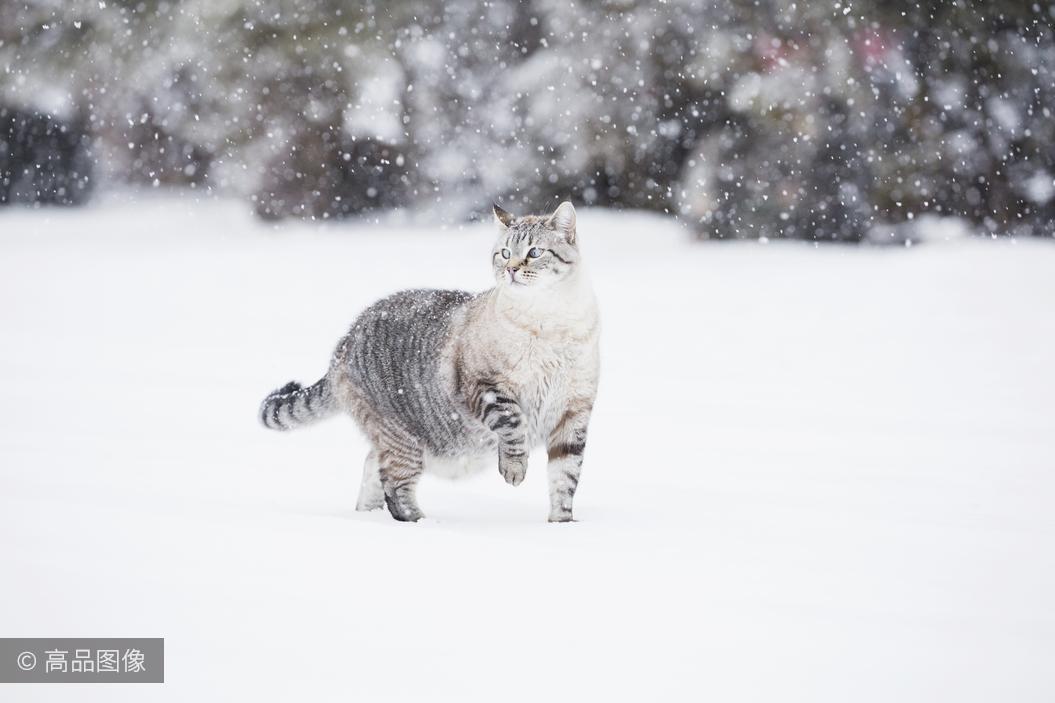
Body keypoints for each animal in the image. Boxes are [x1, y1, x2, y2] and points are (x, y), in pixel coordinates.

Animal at [258, 199, 599, 517]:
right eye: (504, 253)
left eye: (535, 252)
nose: (512, 269)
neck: (551, 323)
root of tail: (345, 342)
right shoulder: (487, 389)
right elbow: (514, 427)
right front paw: (515, 469)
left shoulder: (573, 414)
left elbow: (565, 480)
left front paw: (561, 525)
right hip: (404, 441)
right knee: (395, 488)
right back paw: (421, 523)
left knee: (372, 465)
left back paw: (368, 515)